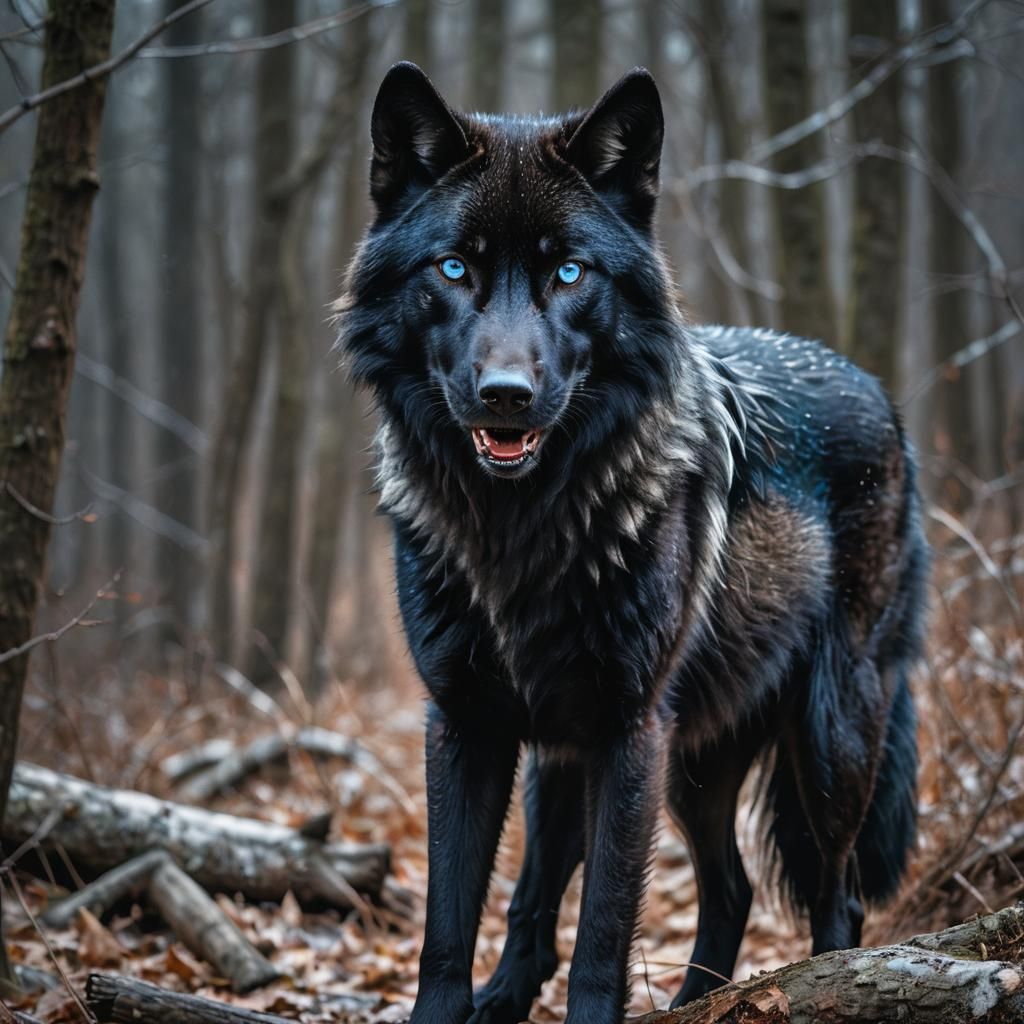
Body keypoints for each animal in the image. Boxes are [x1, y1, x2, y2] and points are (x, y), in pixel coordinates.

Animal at [338, 62, 927, 1024]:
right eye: (454, 268)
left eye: (570, 271)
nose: (505, 395)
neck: (522, 527)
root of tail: (885, 399)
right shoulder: (467, 723)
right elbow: (450, 928)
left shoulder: (627, 730)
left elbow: (603, 938)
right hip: (658, 764)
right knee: (718, 889)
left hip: (825, 737)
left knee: (834, 898)